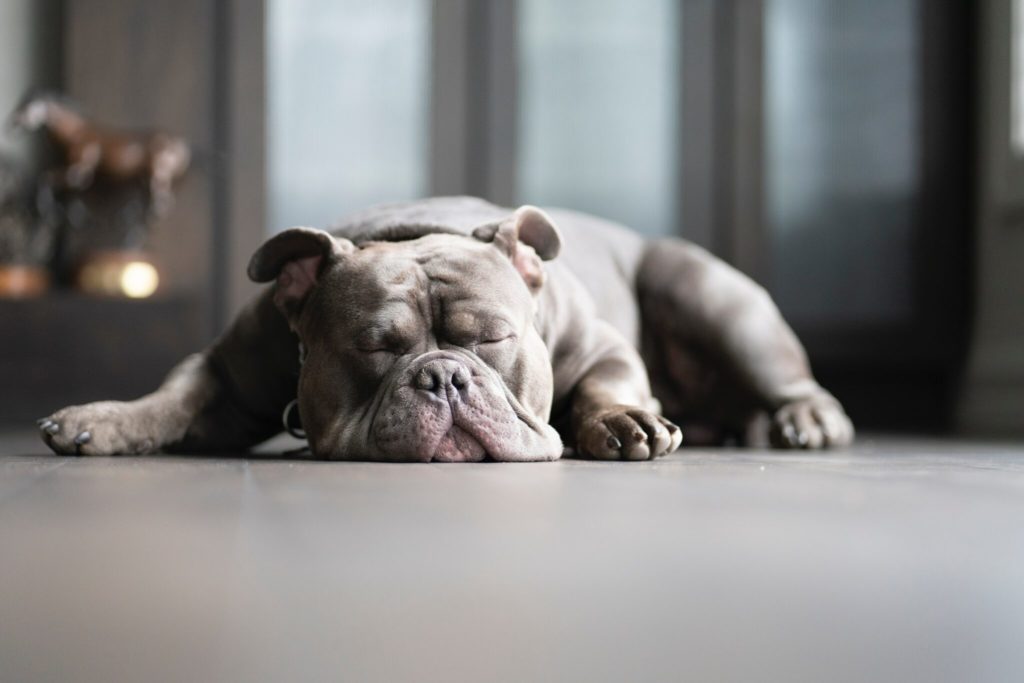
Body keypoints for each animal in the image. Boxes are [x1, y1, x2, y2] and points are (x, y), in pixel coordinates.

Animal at [39, 197, 851, 462]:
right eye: (374, 347)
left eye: (492, 340)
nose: (445, 375)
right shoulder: (227, 370)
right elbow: (173, 395)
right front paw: (102, 419)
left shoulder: (604, 347)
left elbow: (605, 386)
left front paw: (623, 421)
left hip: (708, 292)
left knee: (790, 379)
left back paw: (807, 419)